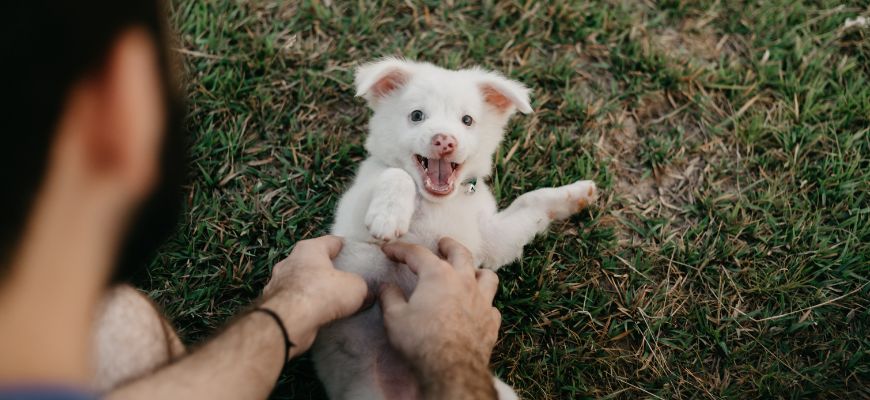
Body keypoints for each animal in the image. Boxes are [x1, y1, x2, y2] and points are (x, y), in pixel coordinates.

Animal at [316, 58, 600, 400]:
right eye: (416, 115)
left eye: (467, 120)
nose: (444, 140)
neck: (440, 204)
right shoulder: (354, 220)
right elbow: (396, 173)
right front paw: (389, 215)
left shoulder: (492, 239)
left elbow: (532, 200)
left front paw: (575, 194)